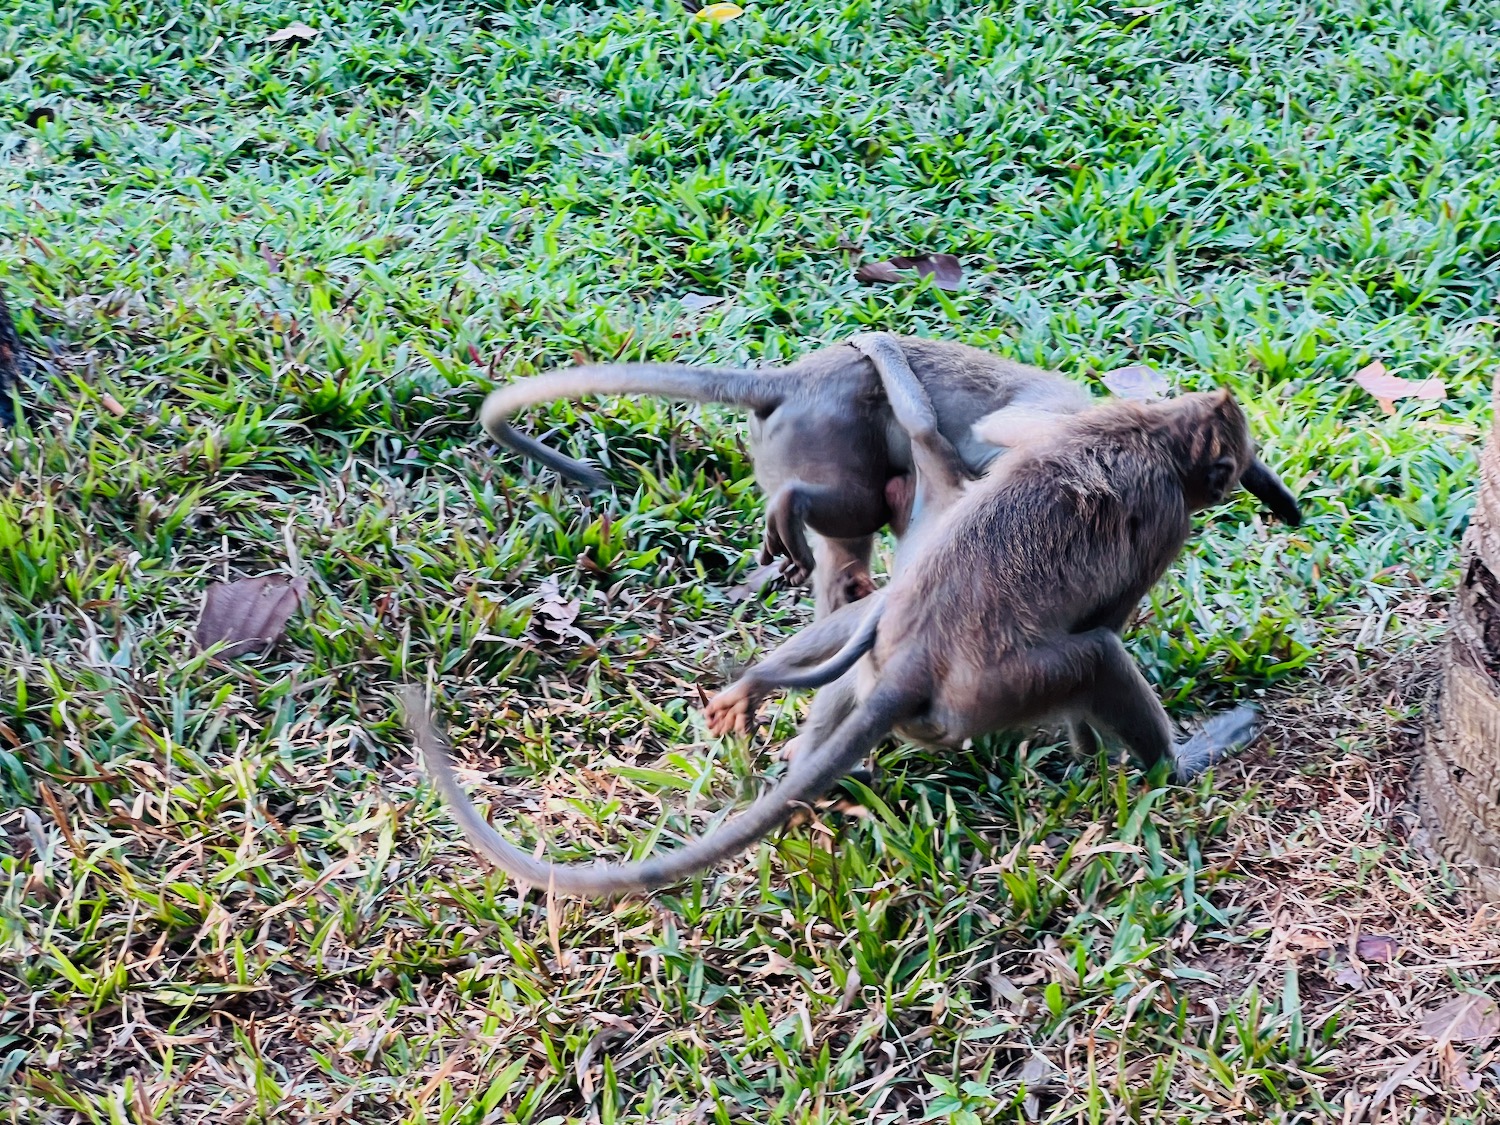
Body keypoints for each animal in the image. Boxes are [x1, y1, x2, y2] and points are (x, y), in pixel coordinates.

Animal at [408, 379, 1302, 900]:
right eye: (1230, 466)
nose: (1250, 481)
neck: (1155, 430)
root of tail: (914, 662)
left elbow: (1001, 428)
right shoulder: (1166, 514)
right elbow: (1109, 617)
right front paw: (1095, 747)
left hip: (890, 653)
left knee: (852, 633)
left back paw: (786, 735)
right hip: (995, 691)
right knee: (1094, 656)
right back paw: (1179, 762)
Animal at [477, 334, 1092, 618]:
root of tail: (794, 382)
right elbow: (992, 439)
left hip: (795, 443)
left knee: (849, 538)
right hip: (824, 431)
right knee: (861, 503)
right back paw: (794, 510)